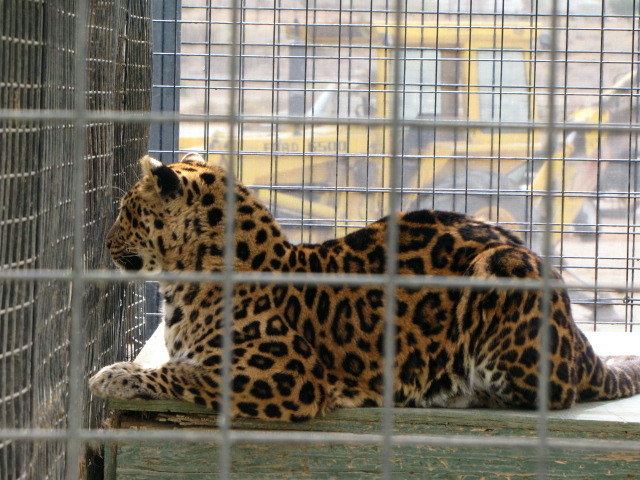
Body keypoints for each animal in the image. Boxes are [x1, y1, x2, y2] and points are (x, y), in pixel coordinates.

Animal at [89, 153, 640, 422]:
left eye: (126, 211)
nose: (105, 242)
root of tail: (578, 334)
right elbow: (183, 366)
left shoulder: (290, 376)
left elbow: (186, 374)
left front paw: (115, 376)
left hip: (503, 272)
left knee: (549, 395)